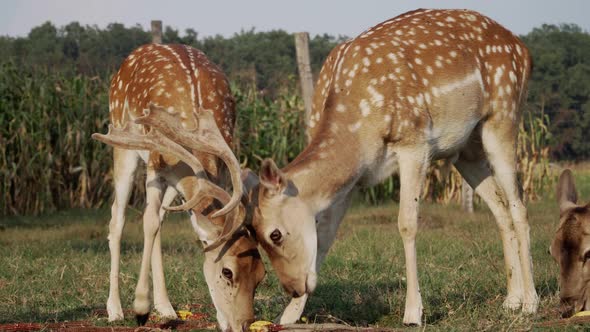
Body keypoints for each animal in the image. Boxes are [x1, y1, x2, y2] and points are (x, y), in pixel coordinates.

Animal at [91, 42, 264, 330]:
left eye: (261, 275)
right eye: (227, 272)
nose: (242, 324)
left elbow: (158, 221)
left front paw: (156, 306)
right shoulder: (155, 158)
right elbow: (147, 221)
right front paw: (140, 307)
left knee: (160, 219)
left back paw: (166, 307)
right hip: (122, 141)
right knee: (118, 218)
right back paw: (115, 309)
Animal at [247, 9, 540, 326]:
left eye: (275, 234)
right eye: (254, 234)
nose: (293, 287)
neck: (358, 132)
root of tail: (524, 50)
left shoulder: (414, 143)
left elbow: (407, 223)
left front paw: (413, 313)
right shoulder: (354, 179)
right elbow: (325, 235)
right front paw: (287, 315)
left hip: (504, 115)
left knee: (519, 206)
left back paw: (530, 303)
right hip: (467, 150)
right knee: (500, 209)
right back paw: (511, 300)